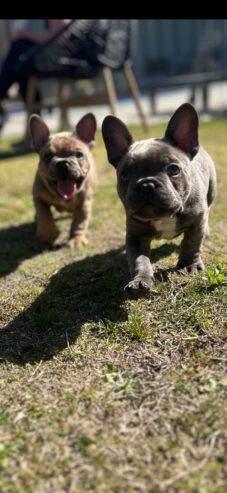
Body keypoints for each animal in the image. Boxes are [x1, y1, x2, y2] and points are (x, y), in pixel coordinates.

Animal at [30, 113, 96, 248]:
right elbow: (44, 216)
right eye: (47, 156)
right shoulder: (38, 198)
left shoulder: (84, 204)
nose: (62, 163)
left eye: (79, 155)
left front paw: (76, 239)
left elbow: (79, 222)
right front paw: (47, 235)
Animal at [102, 103, 216, 294]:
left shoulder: (197, 220)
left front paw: (189, 266)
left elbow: (191, 242)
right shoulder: (136, 236)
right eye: (124, 175)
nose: (146, 184)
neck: (164, 216)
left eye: (174, 170)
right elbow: (139, 261)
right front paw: (140, 281)